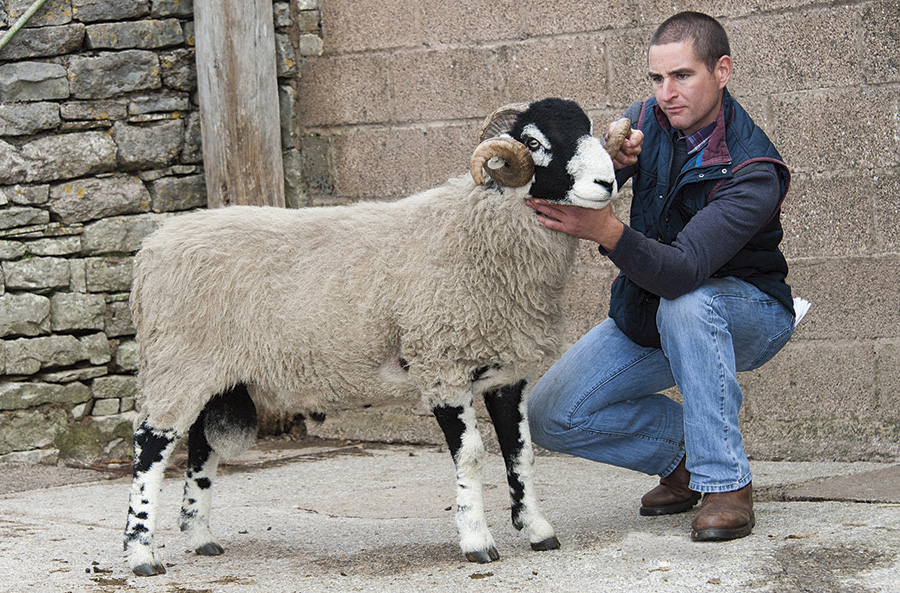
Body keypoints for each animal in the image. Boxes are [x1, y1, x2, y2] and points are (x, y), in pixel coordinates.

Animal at [123, 97, 628, 572]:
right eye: (536, 143)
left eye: (588, 129)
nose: (607, 184)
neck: (476, 230)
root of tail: (152, 246)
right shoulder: (440, 365)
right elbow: (471, 456)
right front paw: (477, 541)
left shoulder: (507, 372)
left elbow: (520, 454)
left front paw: (538, 529)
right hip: (175, 363)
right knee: (150, 448)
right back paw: (142, 554)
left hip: (214, 375)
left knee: (201, 448)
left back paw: (200, 537)